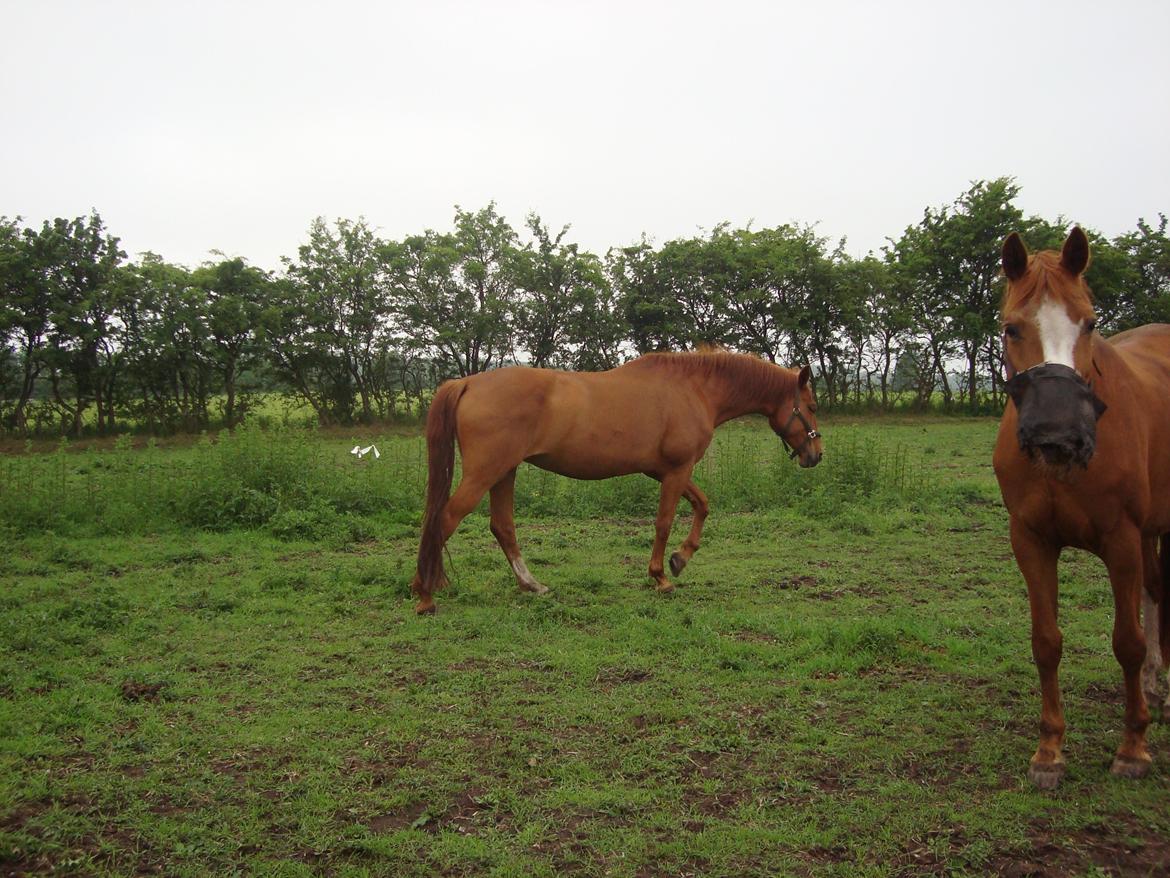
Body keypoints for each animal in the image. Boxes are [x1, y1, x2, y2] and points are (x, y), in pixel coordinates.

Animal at [411, 348, 823, 613]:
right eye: (812, 406)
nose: (816, 455)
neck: (692, 389)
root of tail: (468, 383)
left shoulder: (666, 470)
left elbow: (702, 506)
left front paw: (680, 558)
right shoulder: (677, 470)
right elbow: (663, 522)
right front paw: (661, 576)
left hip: (504, 473)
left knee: (502, 527)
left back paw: (531, 584)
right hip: (485, 473)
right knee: (444, 521)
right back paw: (425, 595)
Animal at [996, 227, 1170, 791]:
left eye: (1090, 321)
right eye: (1011, 327)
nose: (1058, 433)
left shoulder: (1121, 538)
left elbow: (1127, 642)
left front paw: (1133, 748)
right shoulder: (1030, 539)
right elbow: (1046, 642)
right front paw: (1049, 751)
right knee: (1157, 589)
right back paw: (1156, 688)